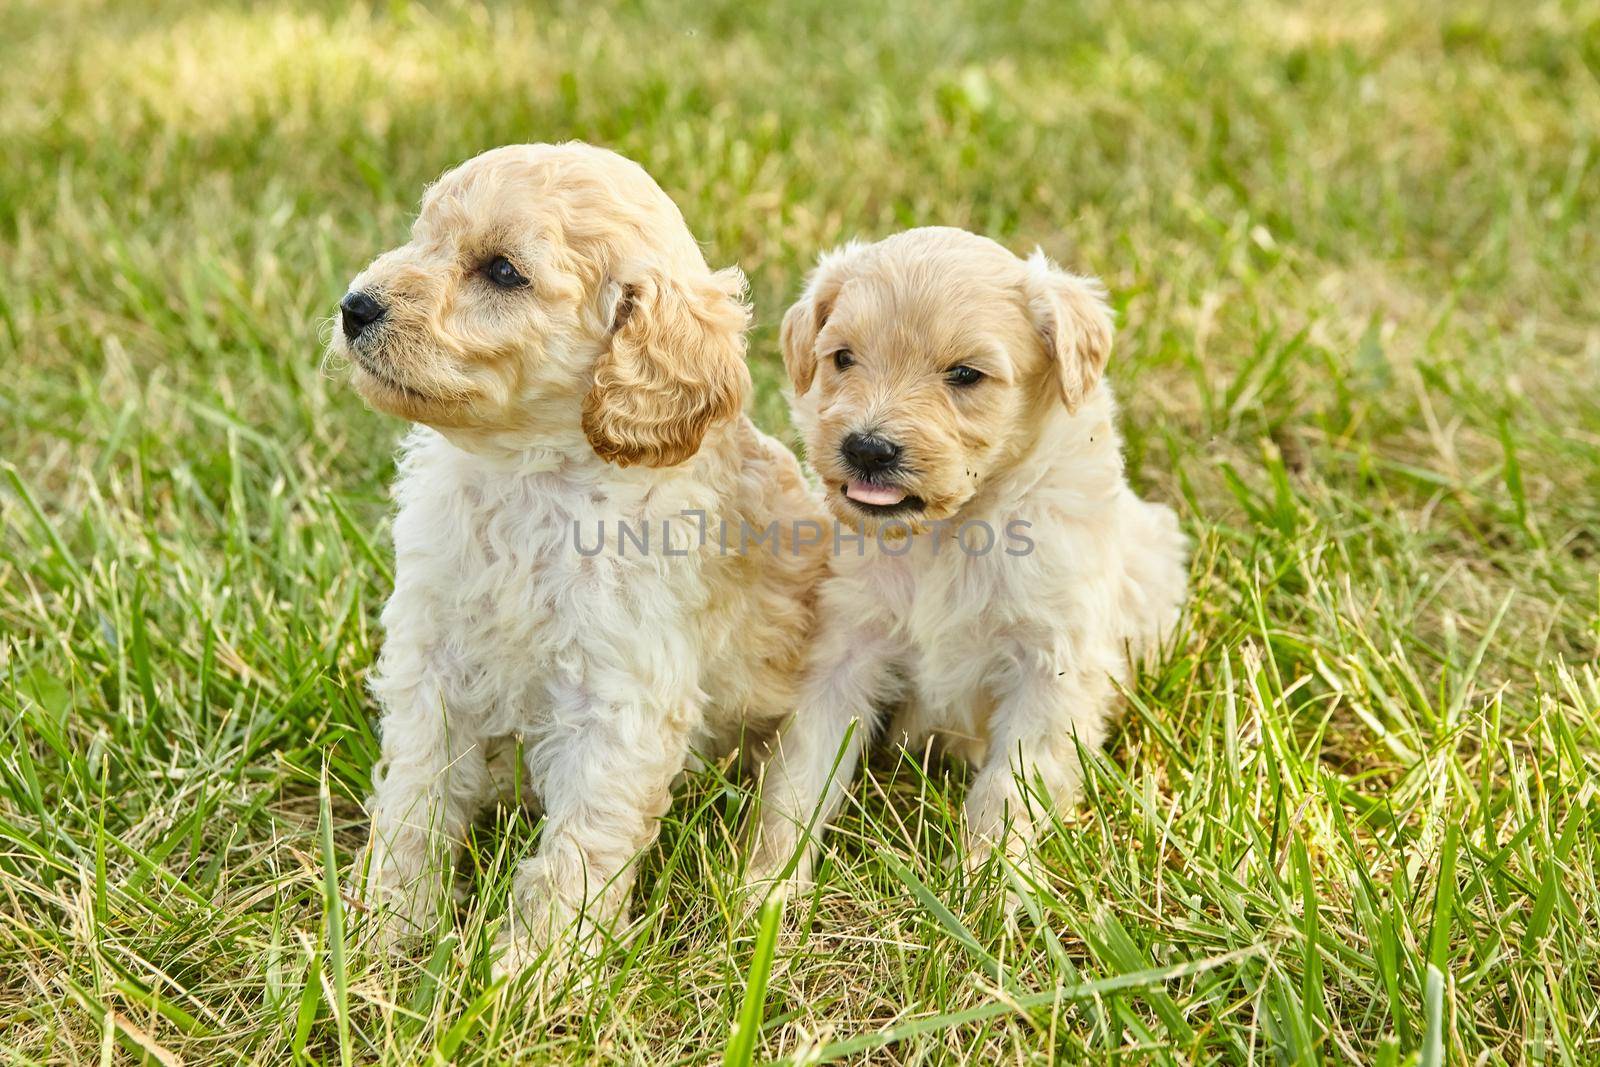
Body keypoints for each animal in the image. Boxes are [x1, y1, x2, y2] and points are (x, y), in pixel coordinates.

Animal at [326, 143, 825, 985]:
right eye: (423, 236)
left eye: (502, 271)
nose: (354, 306)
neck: (527, 478)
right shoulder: (432, 663)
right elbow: (415, 799)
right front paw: (384, 927)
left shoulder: (619, 701)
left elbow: (581, 847)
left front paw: (537, 972)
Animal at [739, 230, 1190, 895]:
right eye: (843, 358)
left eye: (965, 375)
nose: (867, 448)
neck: (947, 535)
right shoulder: (844, 646)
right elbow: (800, 774)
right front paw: (768, 888)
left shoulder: (1051, 666)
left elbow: (1009, 788)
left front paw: (986, 889)